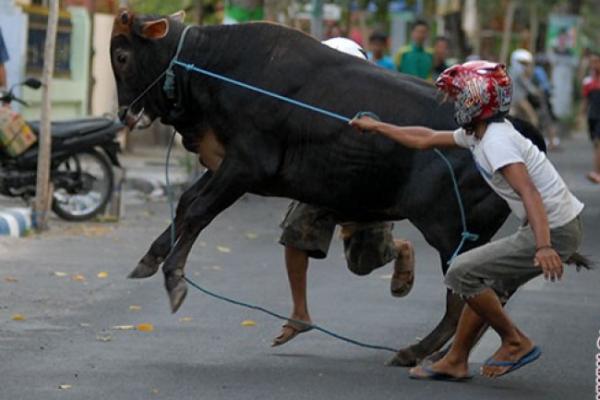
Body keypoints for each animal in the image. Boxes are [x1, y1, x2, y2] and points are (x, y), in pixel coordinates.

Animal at [110, 14, 548, 366]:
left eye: (122, 56)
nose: (125, 115)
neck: (212, 66)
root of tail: (517, 128)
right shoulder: (225, 166)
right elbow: (185, 204)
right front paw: (149, 259)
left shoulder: (246, 166)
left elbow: (198, 211)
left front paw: (174, 278)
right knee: (484, 294)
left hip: (452, 233)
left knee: (469, 297)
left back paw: (425, 353)